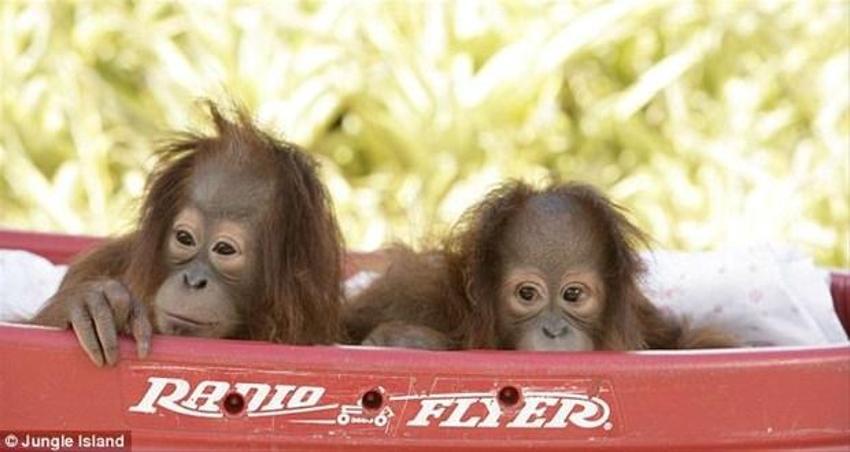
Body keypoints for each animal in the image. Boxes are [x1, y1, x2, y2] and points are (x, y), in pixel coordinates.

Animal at [344, 181, 735, 351]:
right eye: (527, 294)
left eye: (573, 295)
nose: (553, 330)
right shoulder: (412, 293)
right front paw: (409, 340)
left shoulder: (641, 313)